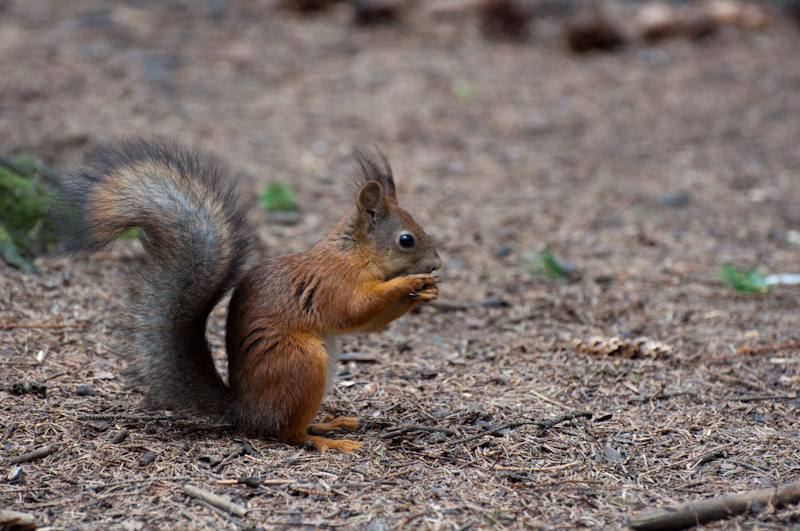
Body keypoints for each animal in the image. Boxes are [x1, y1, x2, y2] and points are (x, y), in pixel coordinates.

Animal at [58, 138, 440, 454]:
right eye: (406, 240)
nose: (437, 264)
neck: (356, 253)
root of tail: (245, 410)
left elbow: (369, 322)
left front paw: (424, 294)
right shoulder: (334, 281)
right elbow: (353, 311)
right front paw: (411, 282)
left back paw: (330, 423)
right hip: (300, 362)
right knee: (286, 433)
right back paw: (328, 441)